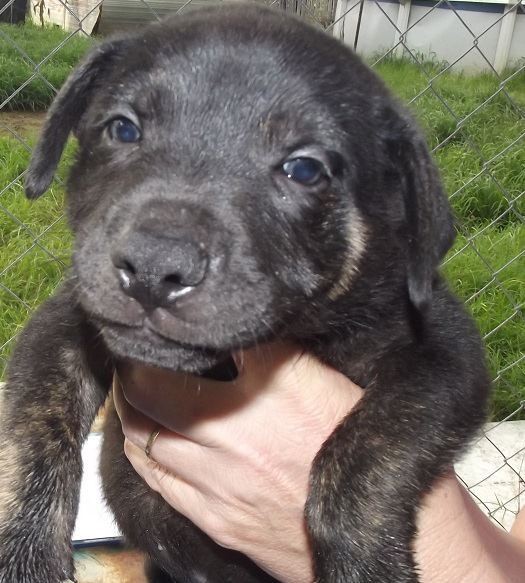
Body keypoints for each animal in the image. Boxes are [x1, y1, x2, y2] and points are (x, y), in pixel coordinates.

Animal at [0, 4, 490, 582]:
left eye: (305, 169)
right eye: (122, 128)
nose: (155, 268)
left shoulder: (442, 354)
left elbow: (363, 457)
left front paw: (367, 565)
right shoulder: (65, 321)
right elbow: (39, 430)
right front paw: (27, 555)